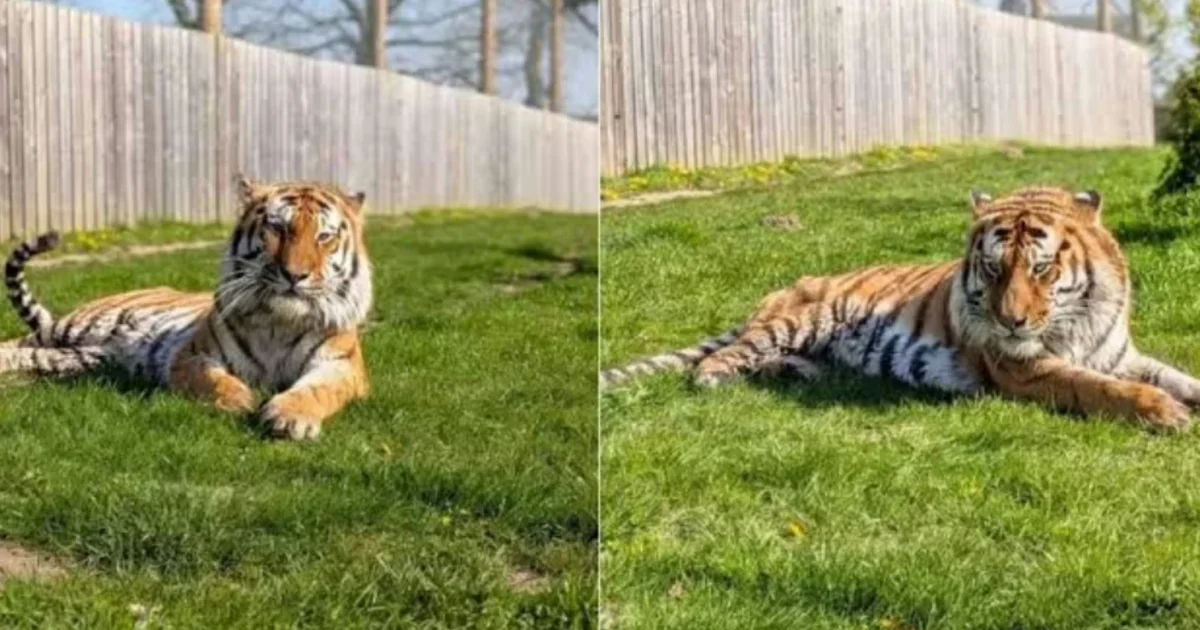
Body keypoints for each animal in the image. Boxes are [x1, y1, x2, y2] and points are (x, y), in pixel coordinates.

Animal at [0, 176, 372, 440]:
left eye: (324, 237)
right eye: (277, 227)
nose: (294, 275)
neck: (280, 321)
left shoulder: (341, 365)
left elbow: (317, 390)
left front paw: (291, 417)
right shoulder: (192, 356)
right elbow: (213, 380)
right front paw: (239, 401)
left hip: (79, 357)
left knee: (23, 356)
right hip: (75, 328)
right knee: (15, 342)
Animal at [602, 186, 1200, 430]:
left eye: (1041, 269)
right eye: (993, 269)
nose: (1010, 321)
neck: (1079, 320)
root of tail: (786, 286)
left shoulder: (1122, 356)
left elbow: (1176, 375)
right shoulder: (1022, 368)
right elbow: (1098, 388)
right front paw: (1165, 413)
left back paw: (801, 374)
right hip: (800, 319)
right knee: (728, 356)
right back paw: (716, 379)